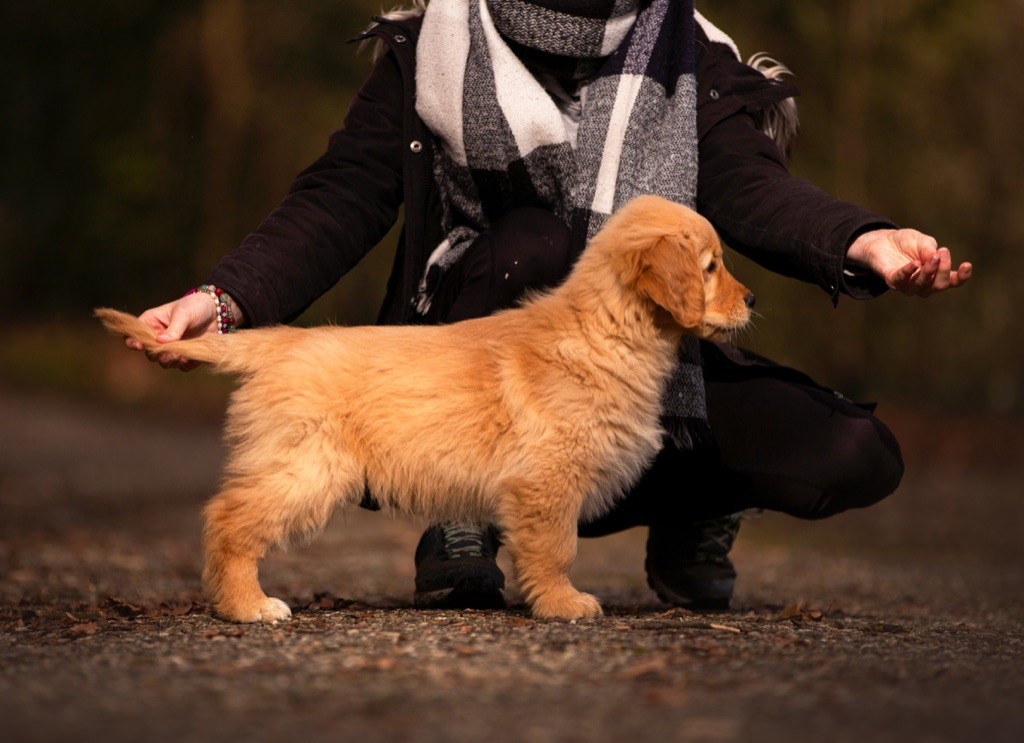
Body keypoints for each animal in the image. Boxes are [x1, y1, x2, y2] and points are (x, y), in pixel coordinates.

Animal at [96, 196, 753, 622]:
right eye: (711, 267)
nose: (751, 299)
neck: (606, 329)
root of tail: (280, 341)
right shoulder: (547, 480)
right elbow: (556, 548)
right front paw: (564, 605)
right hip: (307, 467)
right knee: (228, 518)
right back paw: (247, 607)